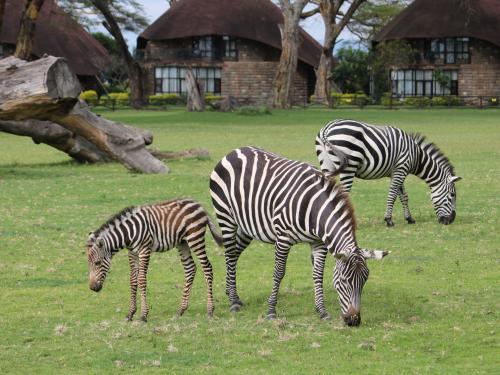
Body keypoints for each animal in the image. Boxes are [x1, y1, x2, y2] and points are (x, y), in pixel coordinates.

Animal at [88, 200, 223, 324]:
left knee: (207, 268)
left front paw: (143, 315)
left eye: (98, 263)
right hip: (182, 242)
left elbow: (141, 279)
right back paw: (181, 310)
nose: (92, 288)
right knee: (190, 268)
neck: (129, 233)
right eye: (88, 264)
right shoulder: (132, 253)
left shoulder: (144, 250)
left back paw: (210, 310)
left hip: (195, 238)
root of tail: (198, 204)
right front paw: (130, 313)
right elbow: (133, 280)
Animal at [209, 147, 388, 326]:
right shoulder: (283, 238)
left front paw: (321, 311)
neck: (313, 210)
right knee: (230, 254)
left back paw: (232, 293)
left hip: (247, 226)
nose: (354, 321)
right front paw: (271, 311)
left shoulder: (318, 243)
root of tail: (235, 151)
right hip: (226, 217)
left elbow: (318, 274)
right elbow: (279, 273)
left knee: (234, 254)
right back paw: (233, 302)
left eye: (364, 280)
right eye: (344, 280)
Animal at [316, 119, 460, 226]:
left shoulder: (397, 172)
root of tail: (327, 128)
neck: (416, 157)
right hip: (349, 167)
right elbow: (392, 195)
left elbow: (403, 196)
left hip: (327, 165)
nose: (450, 221)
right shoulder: (401, 169)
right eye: (452, 195)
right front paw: (389, 220)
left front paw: (409, 219)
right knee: (344, 194)